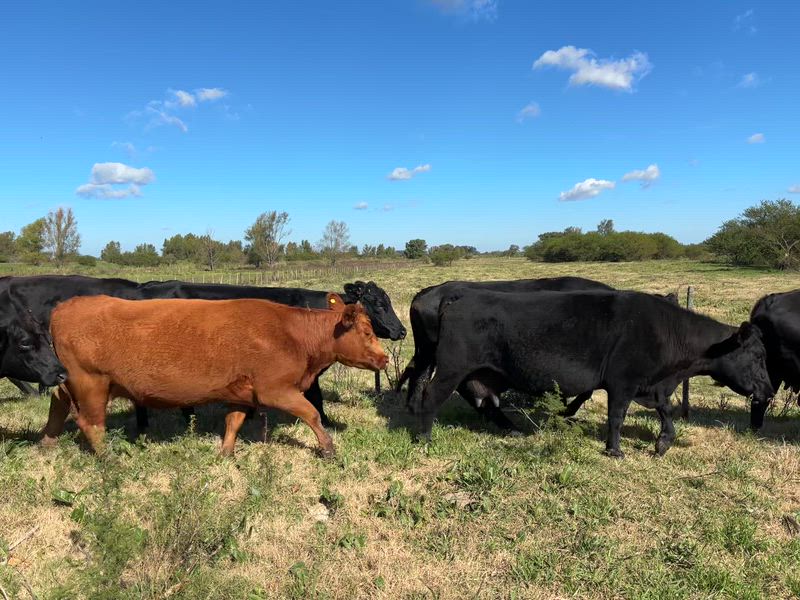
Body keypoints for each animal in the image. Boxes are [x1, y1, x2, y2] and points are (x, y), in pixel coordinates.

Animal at [45, 294, 388, 456]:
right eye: (367, 331)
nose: (385, 358)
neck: (291, 333)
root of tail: (65, 306)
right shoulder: (276, 390)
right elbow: (312, 414)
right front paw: (328, 448)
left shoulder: (242, 394)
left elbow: (233, 422)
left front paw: (226, 453)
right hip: (91, 383)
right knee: (91, 425)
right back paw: (109, 458)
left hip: (69, 383)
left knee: (57, 404)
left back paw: (46, 443)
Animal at [415, 289, 774, 457]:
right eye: (757, 356)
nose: (770, 391)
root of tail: (459, 296)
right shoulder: (623, 382)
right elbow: (616, 417)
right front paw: (615, 450)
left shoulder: (653, 385)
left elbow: (666, 411)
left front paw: (663, 442)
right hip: (451, 367)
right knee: (430, 395)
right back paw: (424, 438)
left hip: (476, 373)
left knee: (485, 401)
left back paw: (513, 430)